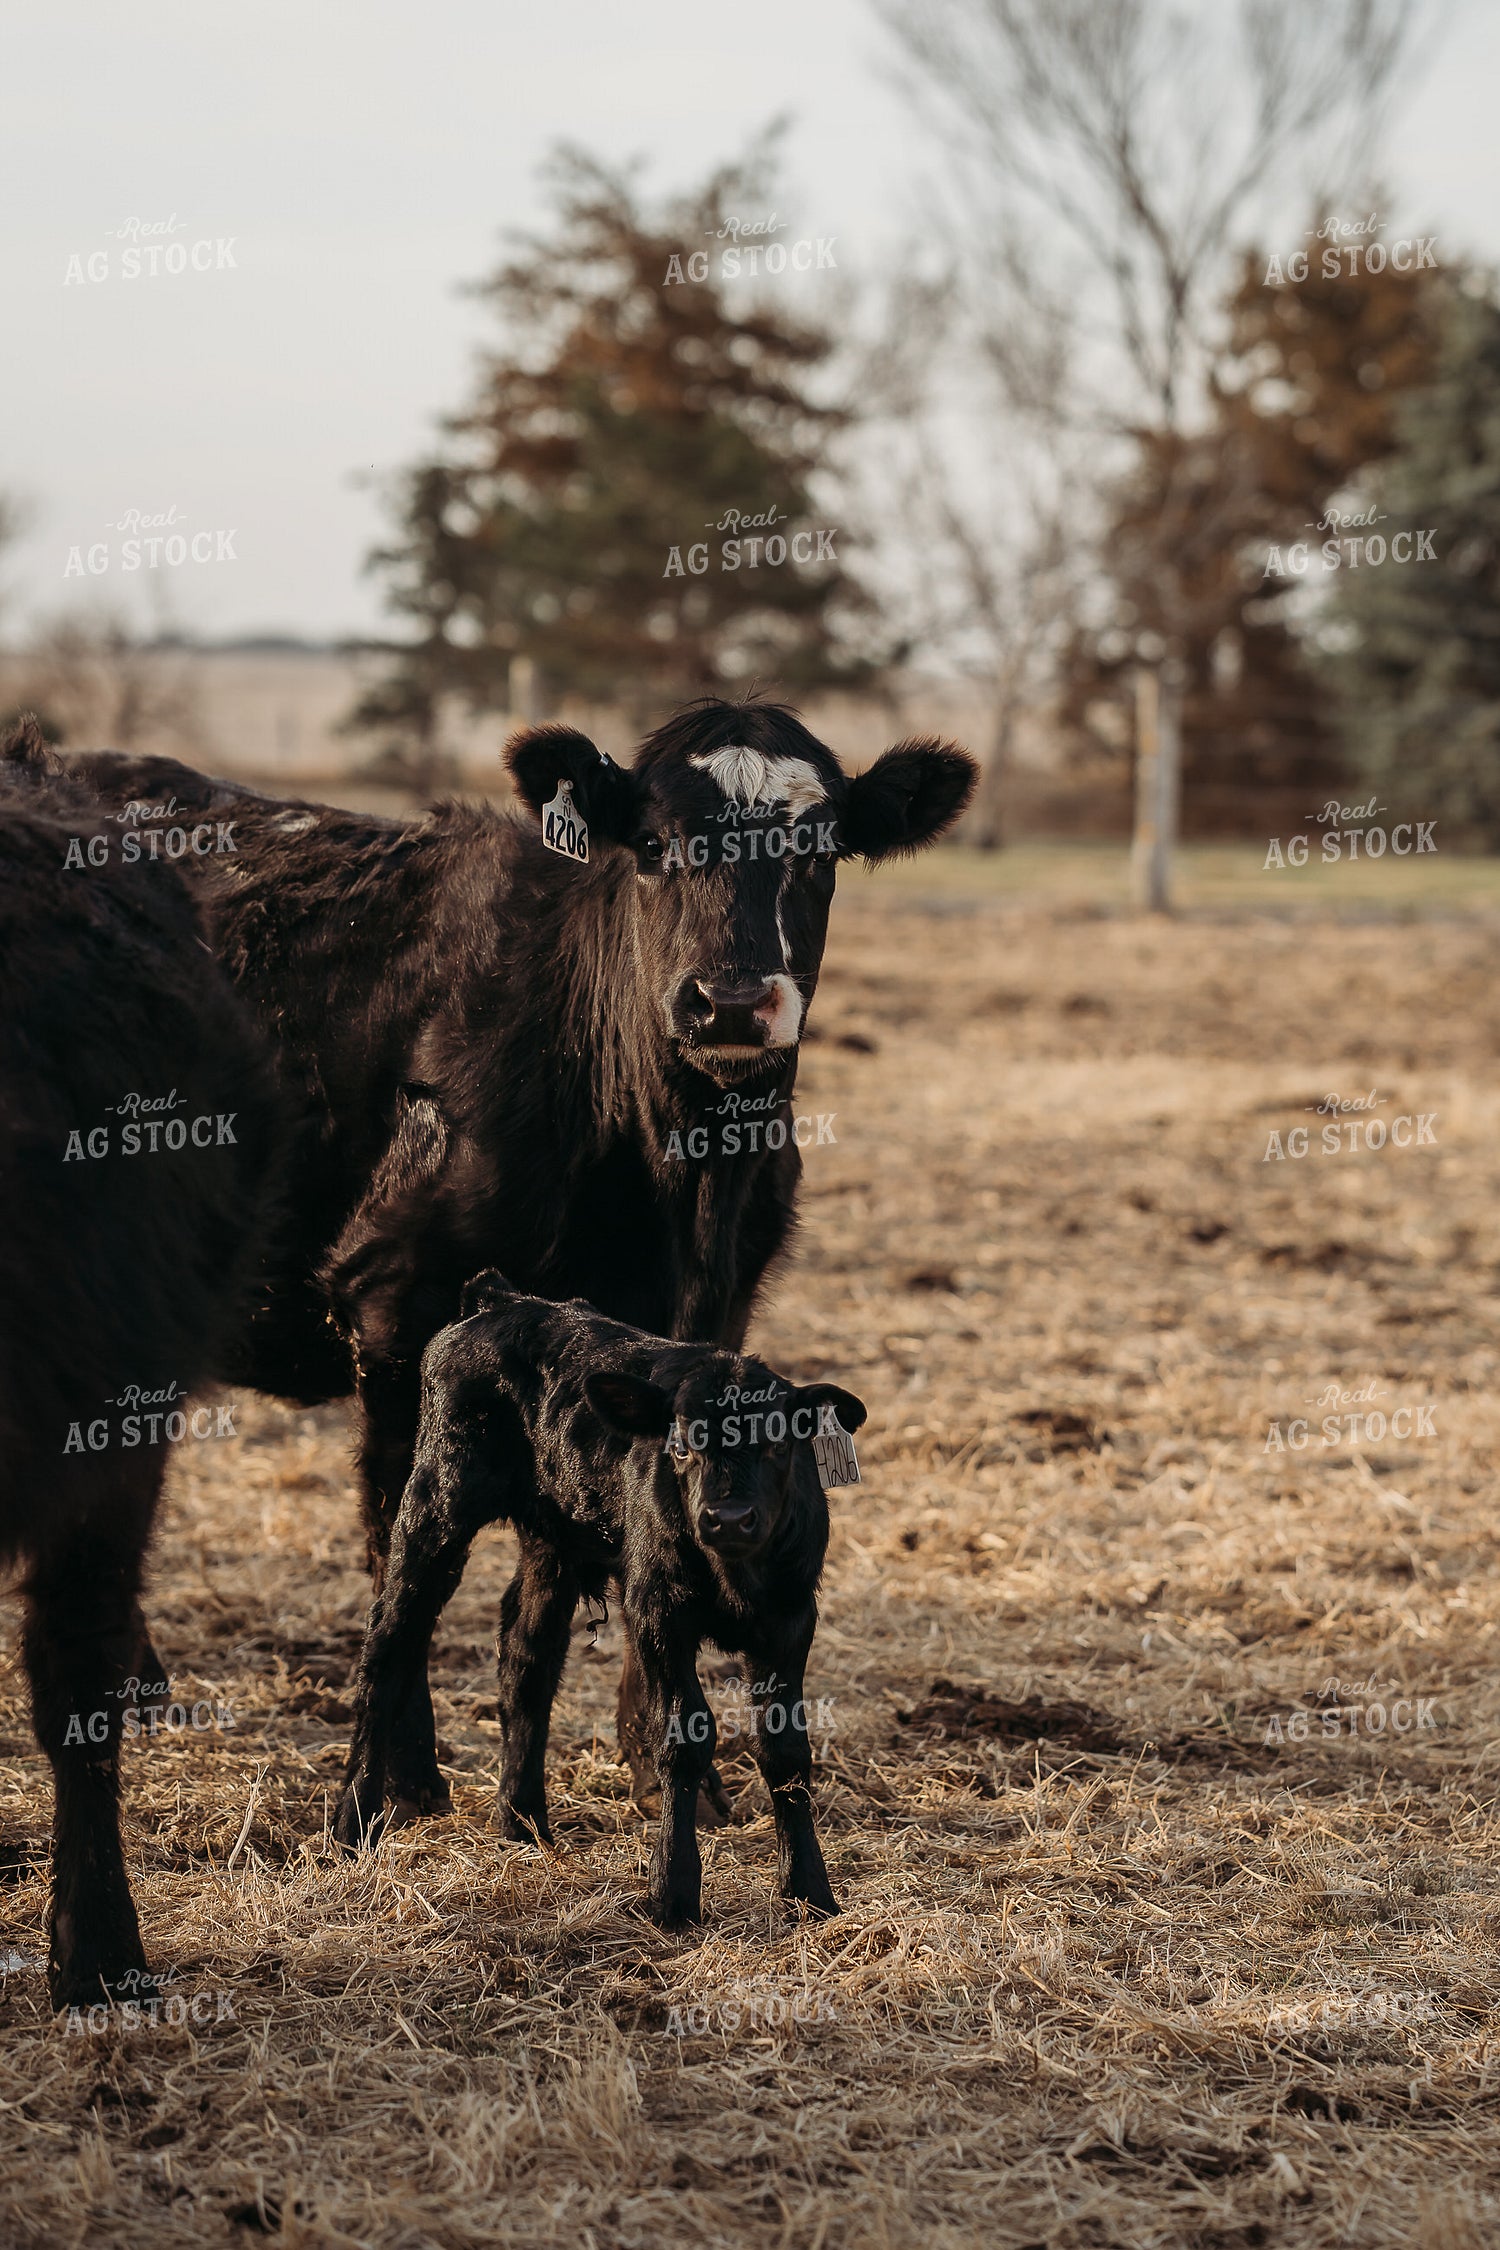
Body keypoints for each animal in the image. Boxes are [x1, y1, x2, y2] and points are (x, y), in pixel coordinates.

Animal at [68, 697, 975, 1815]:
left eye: (816, 849)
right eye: (654, 846)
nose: (728, 1001)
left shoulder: (714, 1313)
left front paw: (667, 1769)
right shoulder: (395, 1306)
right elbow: (397, 1551)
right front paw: (405, 1778)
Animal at [334, 1271, 866, 1927]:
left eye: (778, 1446)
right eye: (681, 1447)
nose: (728, 1518)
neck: (735, 1576)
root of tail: (498, 1299)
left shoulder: (791, 1620)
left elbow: (784, 1748)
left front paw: (810, 1891)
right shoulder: (658, 1611)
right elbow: (684, 1736)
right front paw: (673, 1894)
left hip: (553, 1538)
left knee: (526, 1654)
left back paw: (523, 1824)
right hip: (436, 1500)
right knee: (389, 1642)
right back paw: (352, 1826)